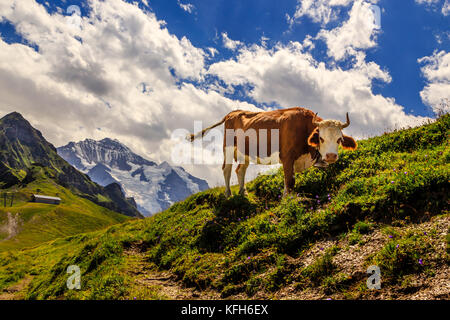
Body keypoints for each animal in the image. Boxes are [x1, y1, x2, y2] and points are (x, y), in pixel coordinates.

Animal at [188, 107, 356, 196]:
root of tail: (234, 112)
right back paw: (228, 193)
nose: (331, 156)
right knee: (227, 169)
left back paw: (243, 192)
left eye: (339, 139)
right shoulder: (287, 157)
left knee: (240, 169)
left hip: (245, 152)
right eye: (321, 138)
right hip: (228, 148)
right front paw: (287, 199)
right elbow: (289, 181)